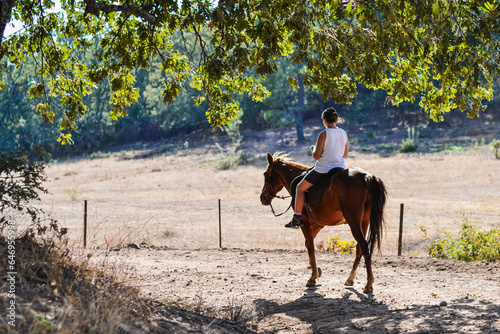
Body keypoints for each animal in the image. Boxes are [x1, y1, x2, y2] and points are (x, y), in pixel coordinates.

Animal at [260, 151, 388, 292]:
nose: (262, 198)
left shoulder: (305, 223)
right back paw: (350, 279)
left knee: (364, 245)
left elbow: (310, 247)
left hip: (353, 221)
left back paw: (369, 283)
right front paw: (317, 271)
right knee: (360, 247)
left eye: (266, 175)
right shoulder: (317, 225)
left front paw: (313, 277)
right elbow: (307, 244)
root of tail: (367, 177)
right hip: (364, 221)